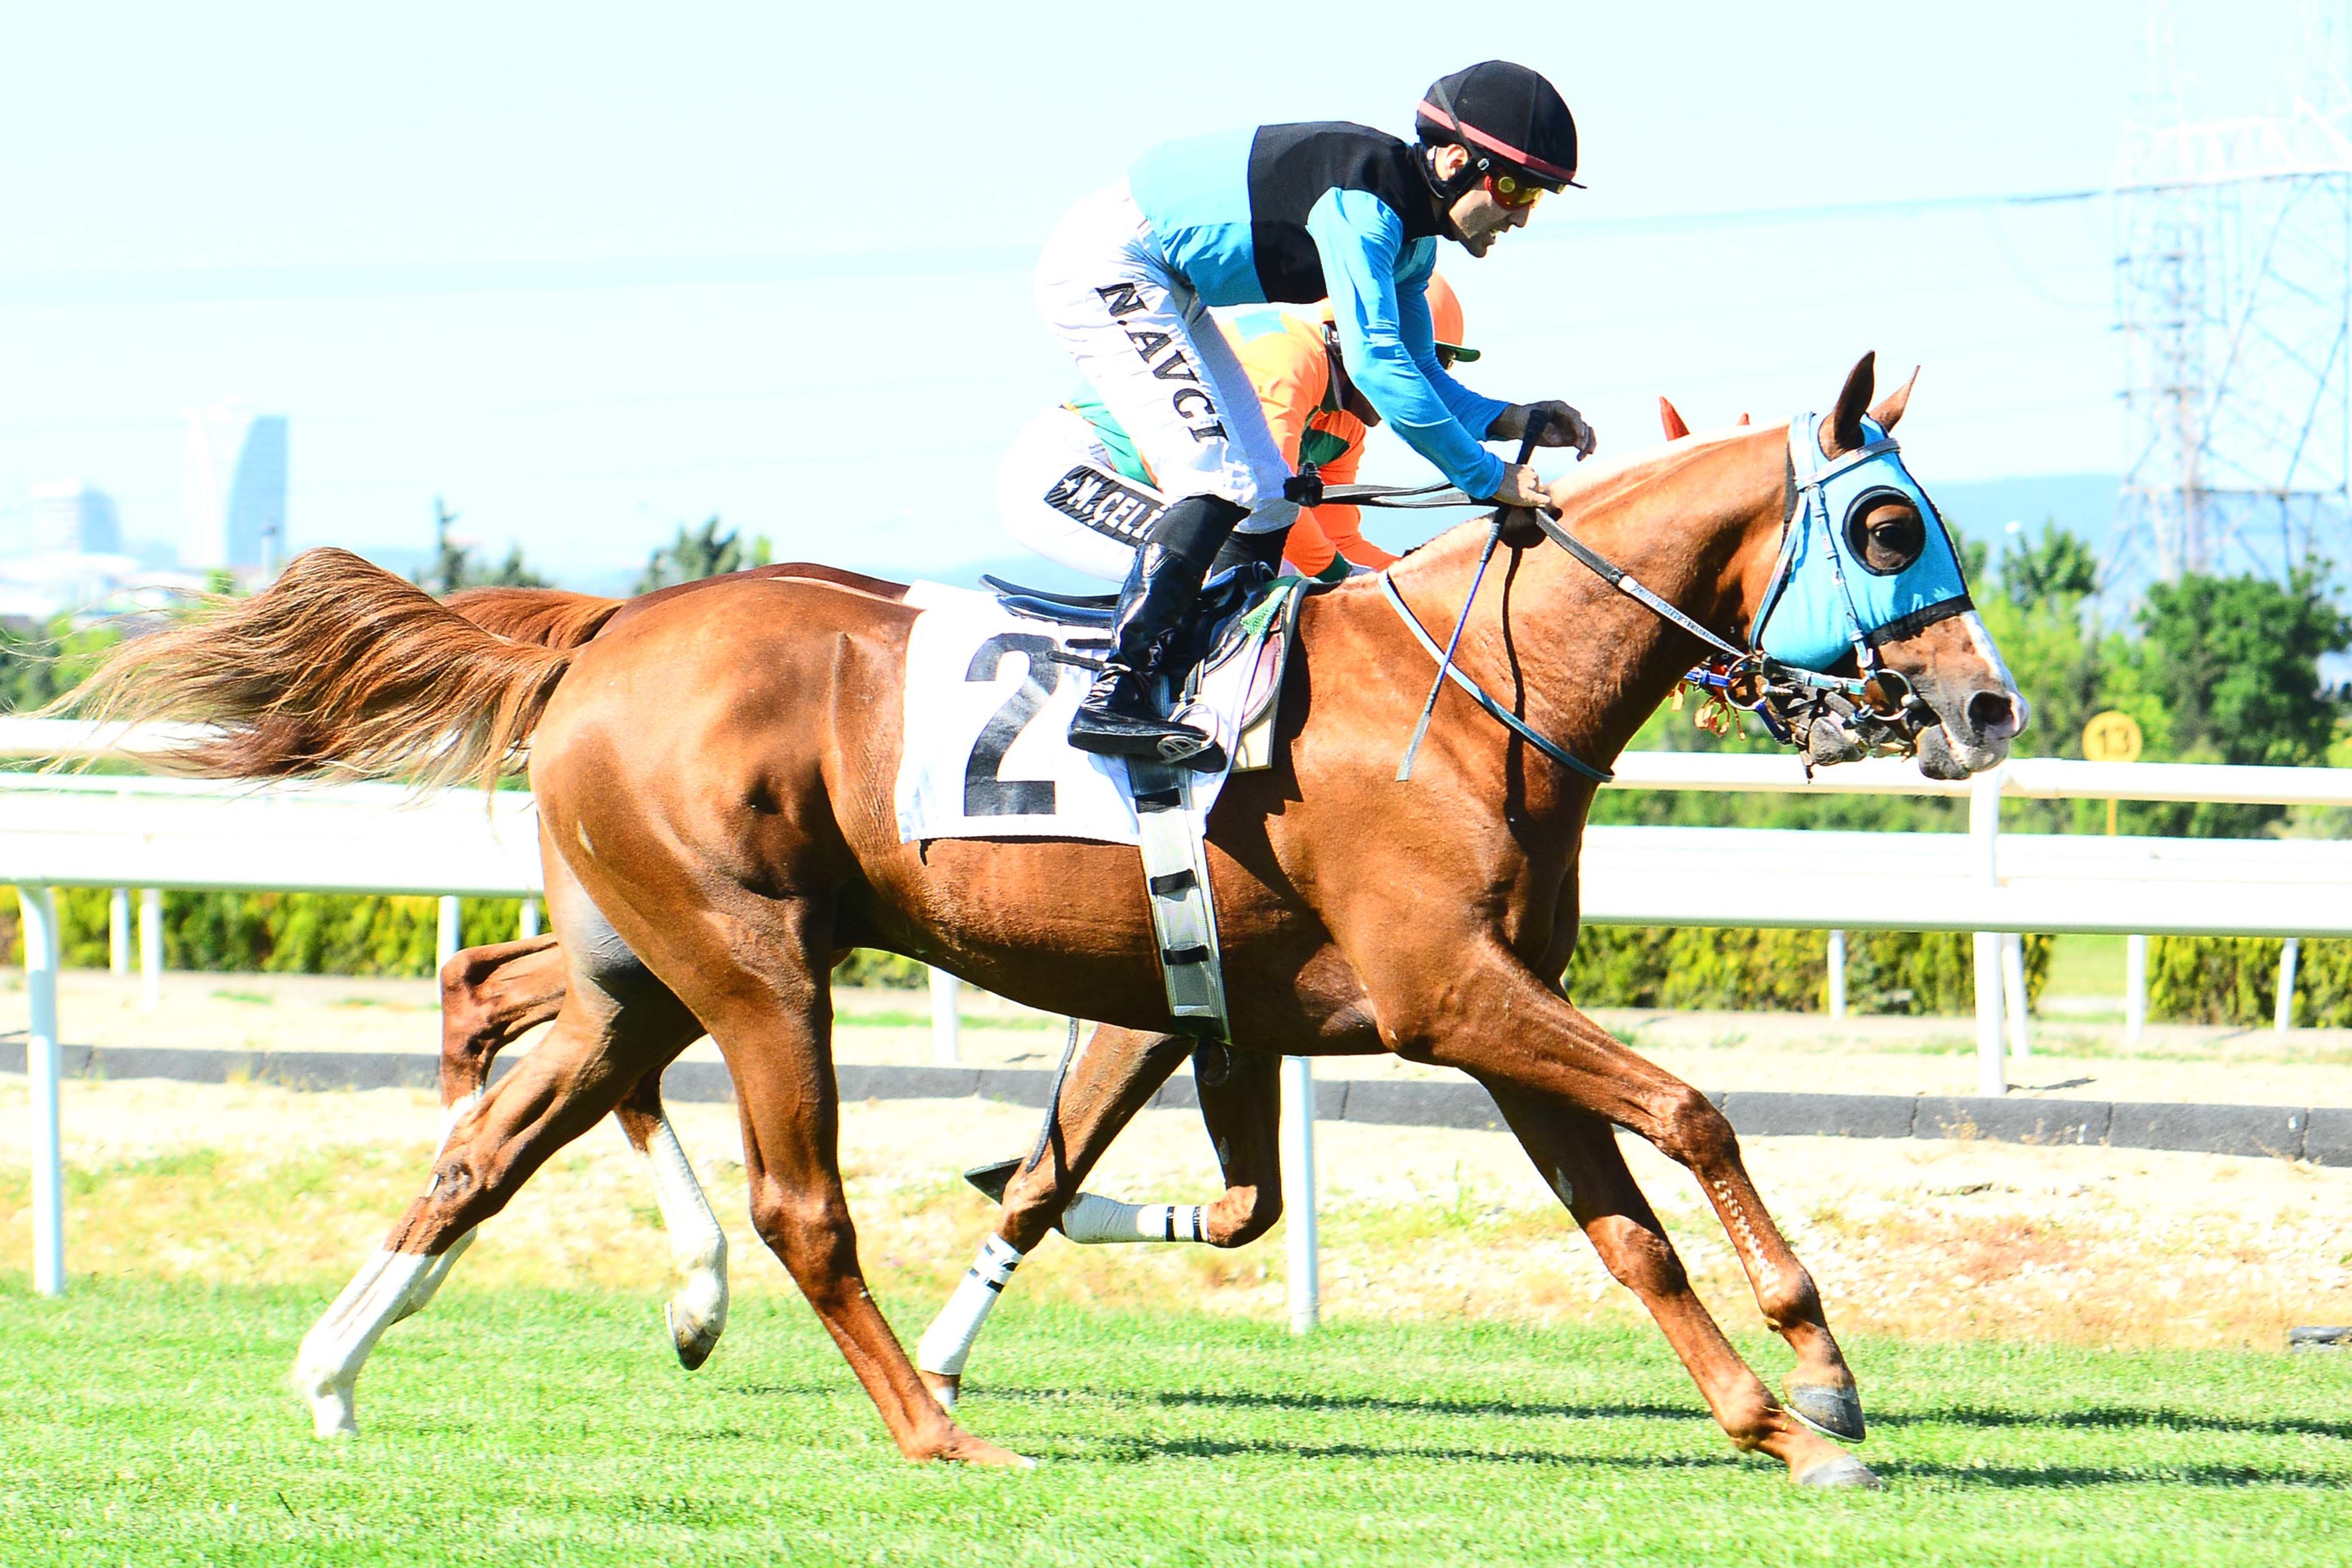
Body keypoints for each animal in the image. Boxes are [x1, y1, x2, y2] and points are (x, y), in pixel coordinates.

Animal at [58, 353, 2021, 1487]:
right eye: (1881, 521)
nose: (1987, 707)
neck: (1467, 695)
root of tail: (615, 626)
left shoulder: (1457, 1009)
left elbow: (1618, 1230)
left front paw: (1769, 1421)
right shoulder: (1442, 994)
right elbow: (1691, 1113)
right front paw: (1824, 1371)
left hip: (637, 967)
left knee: (495, 1130)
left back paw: (337, 1371)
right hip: (754, 958)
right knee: (792, 1205)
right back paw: (929, 1426)